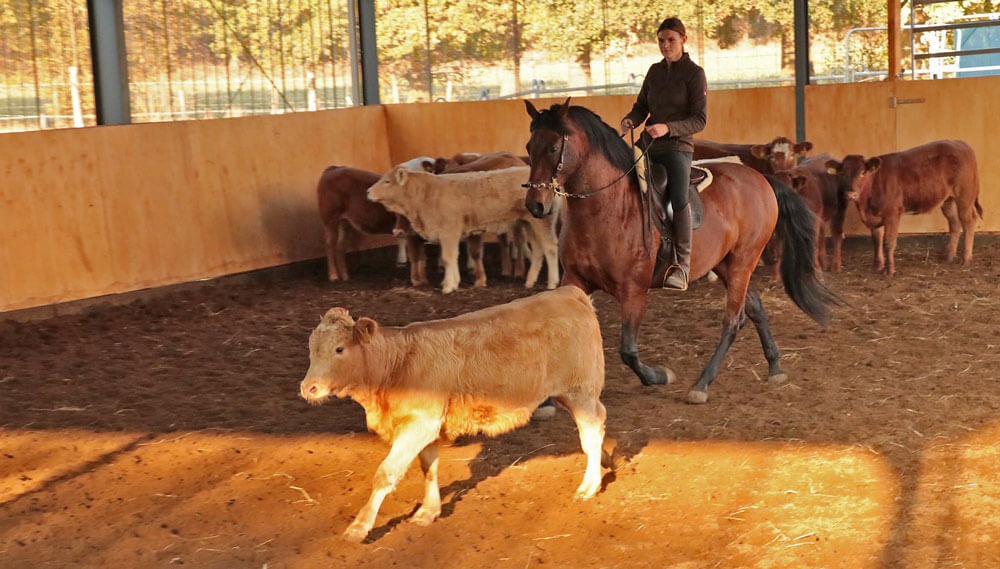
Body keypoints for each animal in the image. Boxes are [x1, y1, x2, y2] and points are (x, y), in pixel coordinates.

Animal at [300, 288, 604, 540]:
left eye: (339, 349)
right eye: (312, 350)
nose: (309, 388)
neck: (397, 363)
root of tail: (569, 293)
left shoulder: (420, 424)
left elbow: (386, 474)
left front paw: (359, 527)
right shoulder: (427, 427)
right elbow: (429, 468)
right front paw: (428, 511)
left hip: (581, 391)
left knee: (592, 431)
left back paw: (589, 485)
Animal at [524, 102, 836, 404]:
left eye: (553, 147)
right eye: (529, 147)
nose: (535, 205)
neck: (607, 207)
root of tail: (761, 178)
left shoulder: (633, 291)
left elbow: (628, 351)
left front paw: (659, 376)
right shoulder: (575, 280)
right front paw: (545, 402)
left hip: (743, 261)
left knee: (733, 320)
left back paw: (701, 384)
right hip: (725, 263)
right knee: (754, 305)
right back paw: (775, 366)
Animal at [824, 141, 980, 276]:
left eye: (863, 173)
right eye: (843, 173)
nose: (851, 193)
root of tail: (960, 143)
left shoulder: (892, 214)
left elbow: (888, 242)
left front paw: (889, 270)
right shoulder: (875, 215)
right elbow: (877, 240)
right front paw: (877, 265)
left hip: (964, 196)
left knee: (968, 221)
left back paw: (966, 259)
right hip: (948, 200)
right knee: (955, 223)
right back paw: (949, 256)